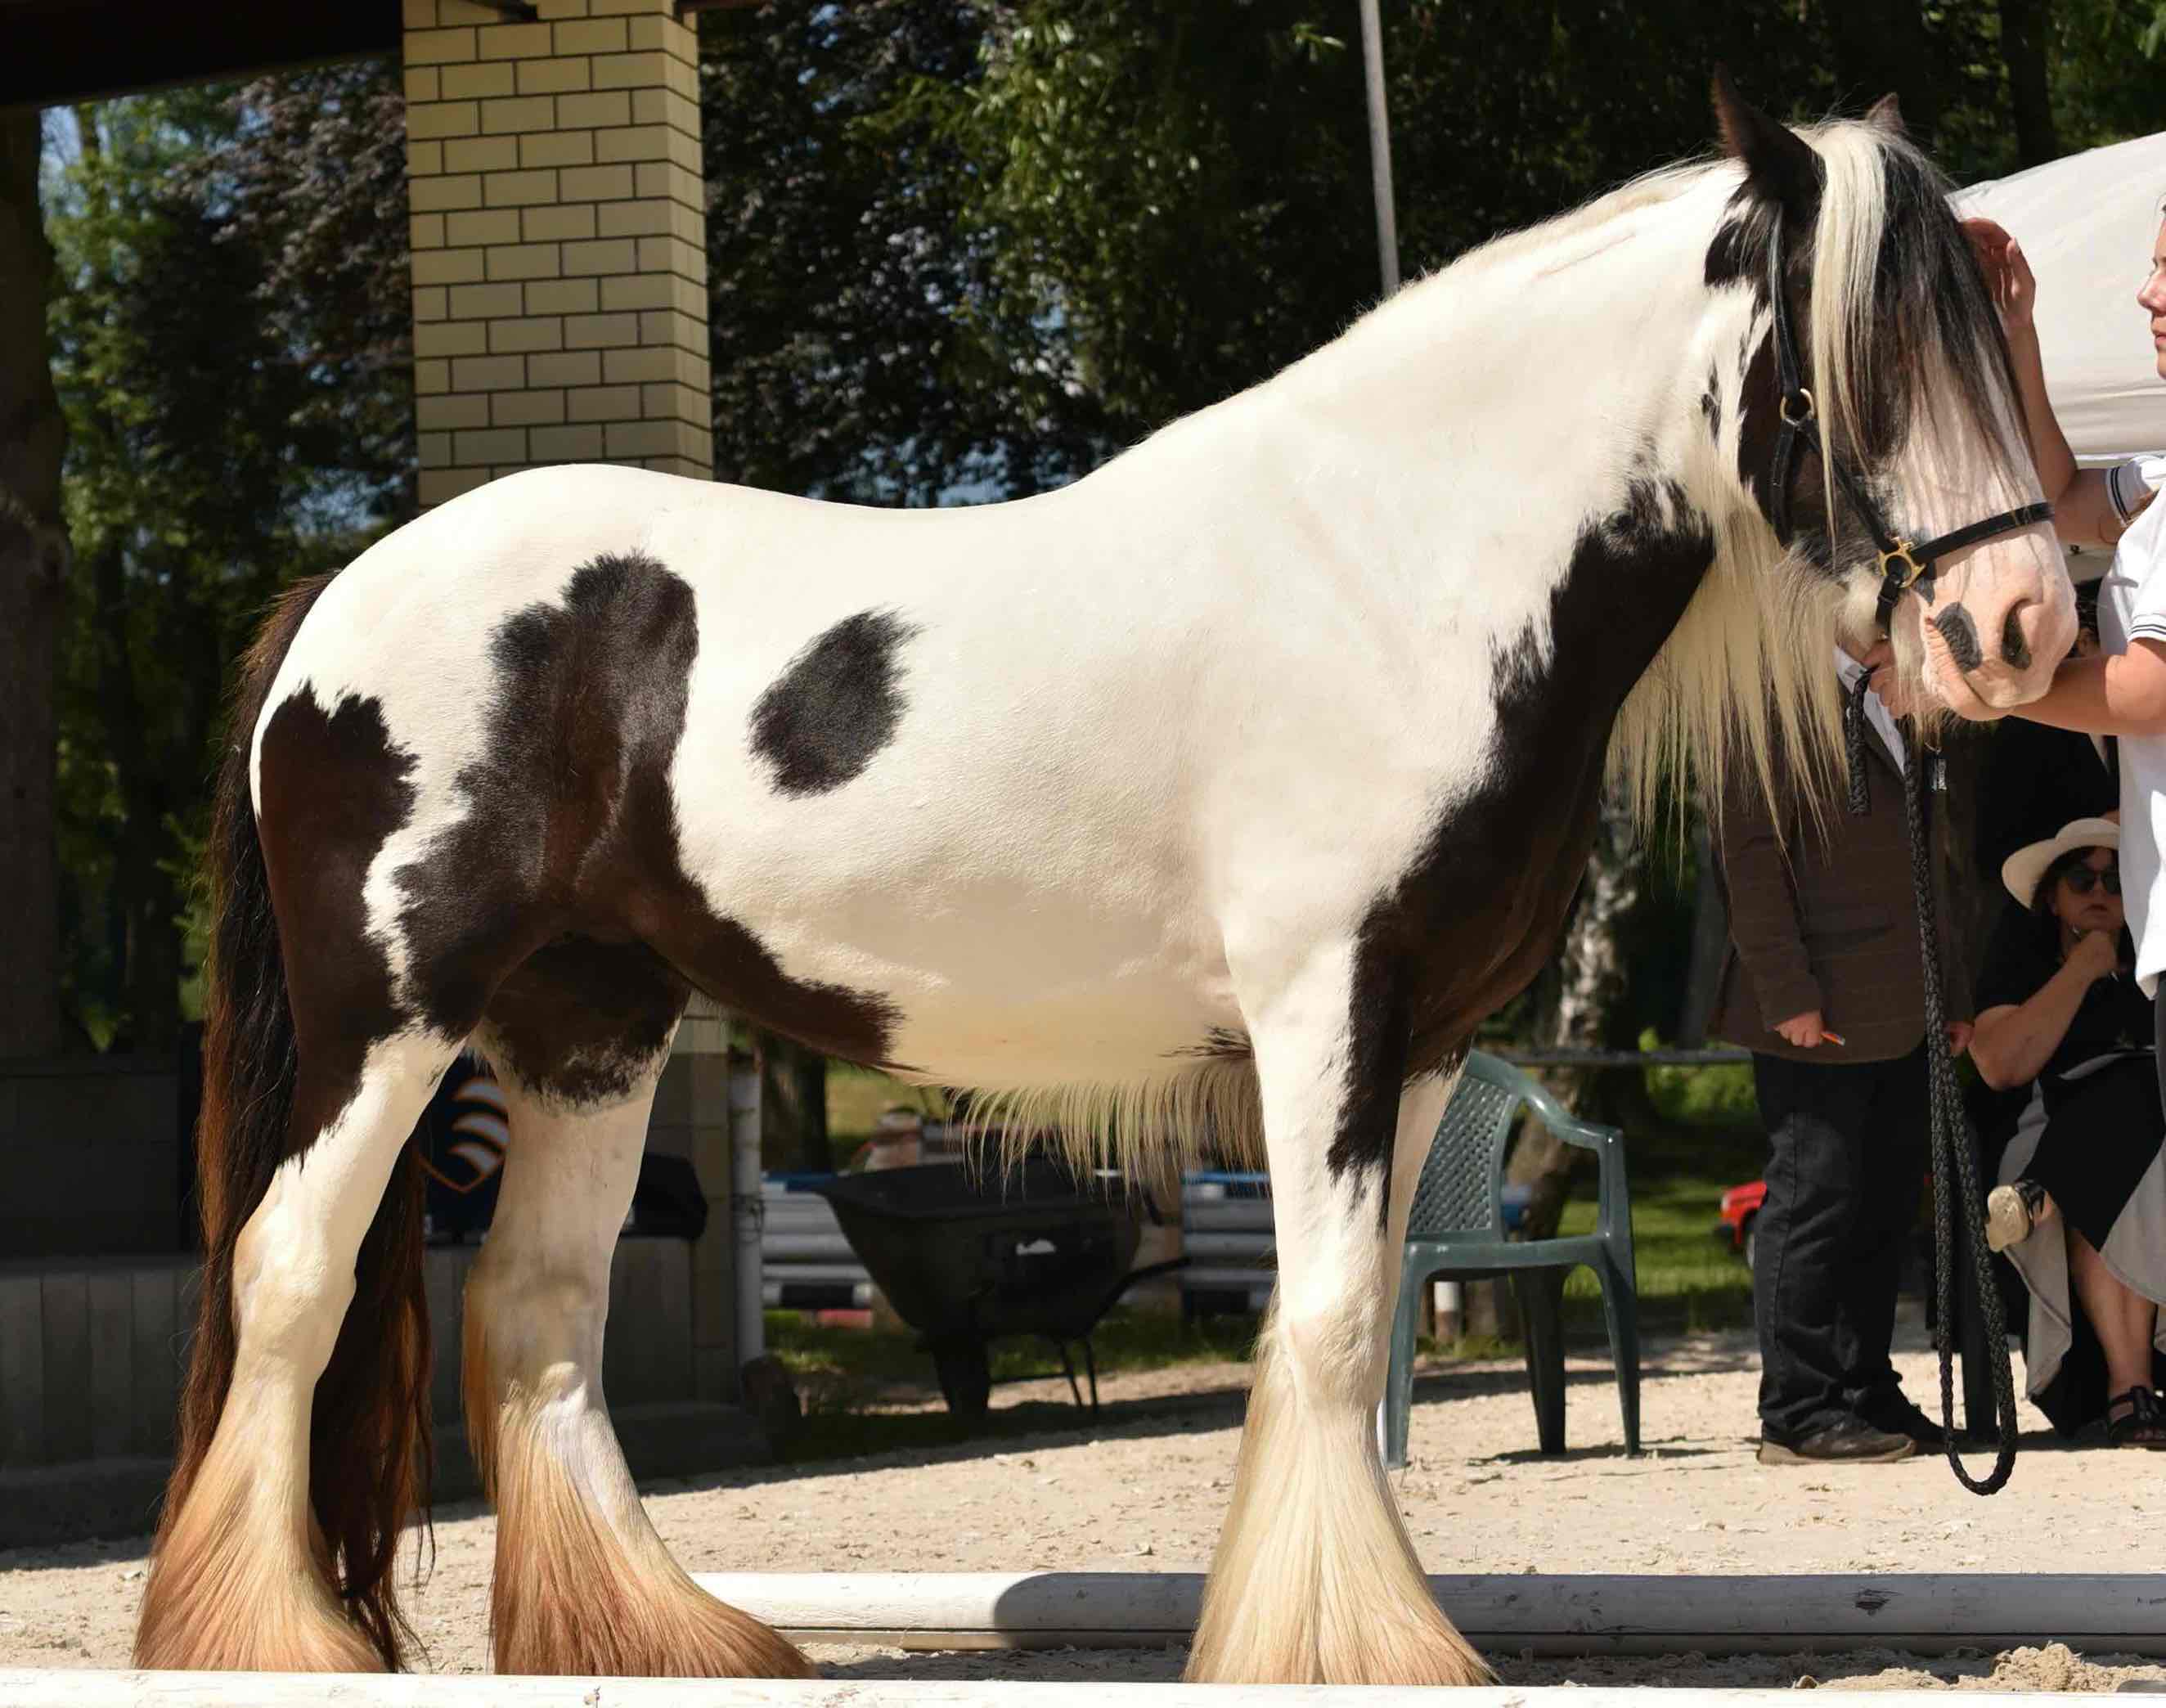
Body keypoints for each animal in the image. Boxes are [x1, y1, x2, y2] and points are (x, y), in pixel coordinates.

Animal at [139, 79, 2079, 1679]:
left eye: (1993, 335)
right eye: (1862, 358)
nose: (2020, 626)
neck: (1394, 570)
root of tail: (337, 598)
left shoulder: (1423, 1036)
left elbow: (1342, 1321)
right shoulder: (1319, 1014)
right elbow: (1327, 1324)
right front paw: (1350, 1651)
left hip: (590, 1028)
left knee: (537, 1318)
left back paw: (658, 1642)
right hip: (393, 1020)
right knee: (293, 1278)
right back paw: (265, 1641)